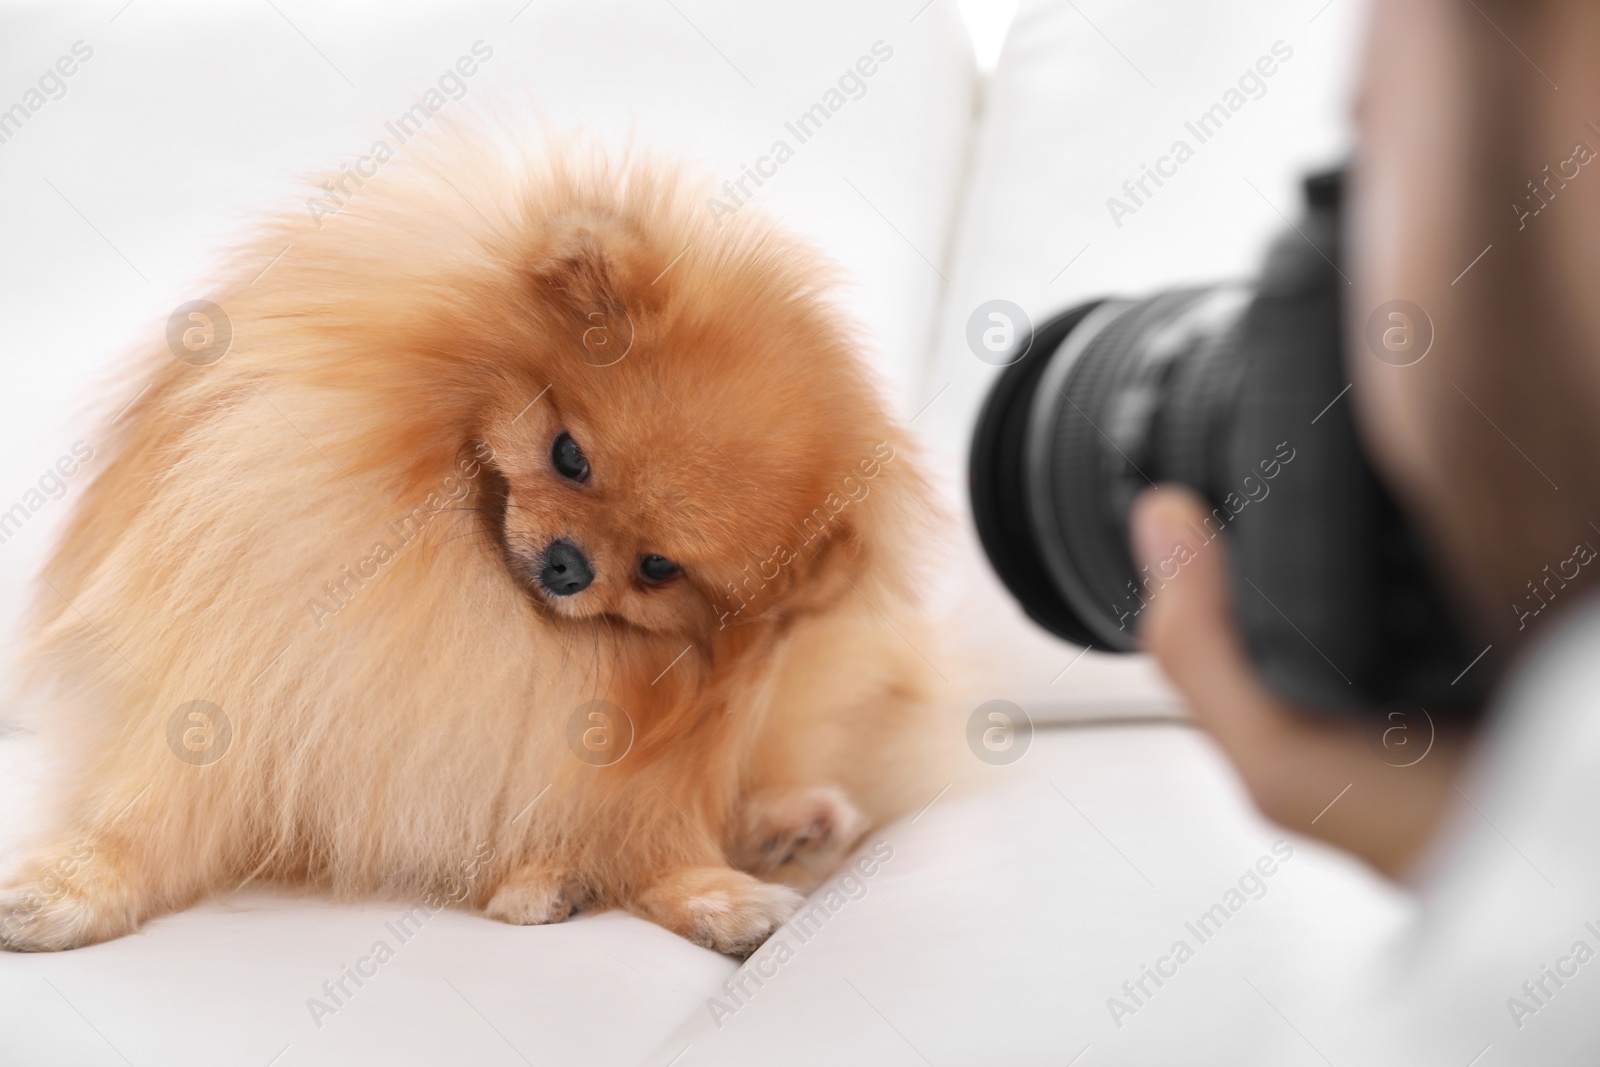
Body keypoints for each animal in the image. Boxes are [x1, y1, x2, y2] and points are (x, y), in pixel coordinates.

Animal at [0, 135, 940, 959]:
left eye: (658, 567)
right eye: (569, 455)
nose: (570, 565)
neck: (466, 586)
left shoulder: (658, 760)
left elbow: (661, 834)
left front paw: (713, 894)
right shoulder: (245, 682)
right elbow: (149, 813)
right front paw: (71, 888)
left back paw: (780, 828)